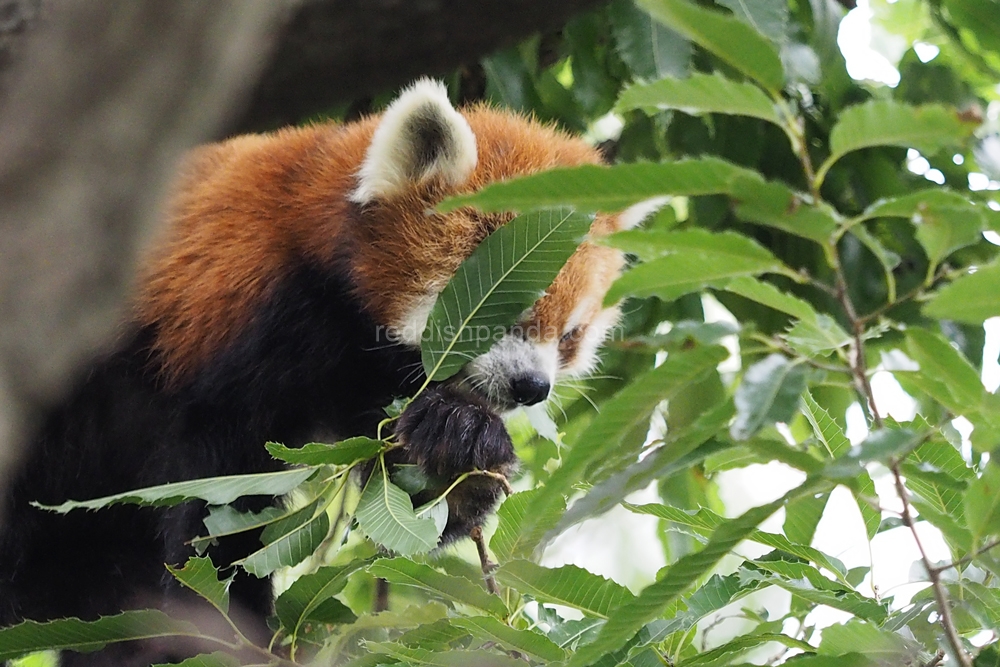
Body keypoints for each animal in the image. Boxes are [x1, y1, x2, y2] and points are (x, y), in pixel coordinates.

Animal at [0, 81, 648, 664]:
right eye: (501, 309)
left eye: (570, 336)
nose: (532, 387)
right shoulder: (239, 321)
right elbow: (218, 496)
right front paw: (237, 622)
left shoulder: (366, 387)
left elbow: (405, 495)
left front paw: (463, 446)